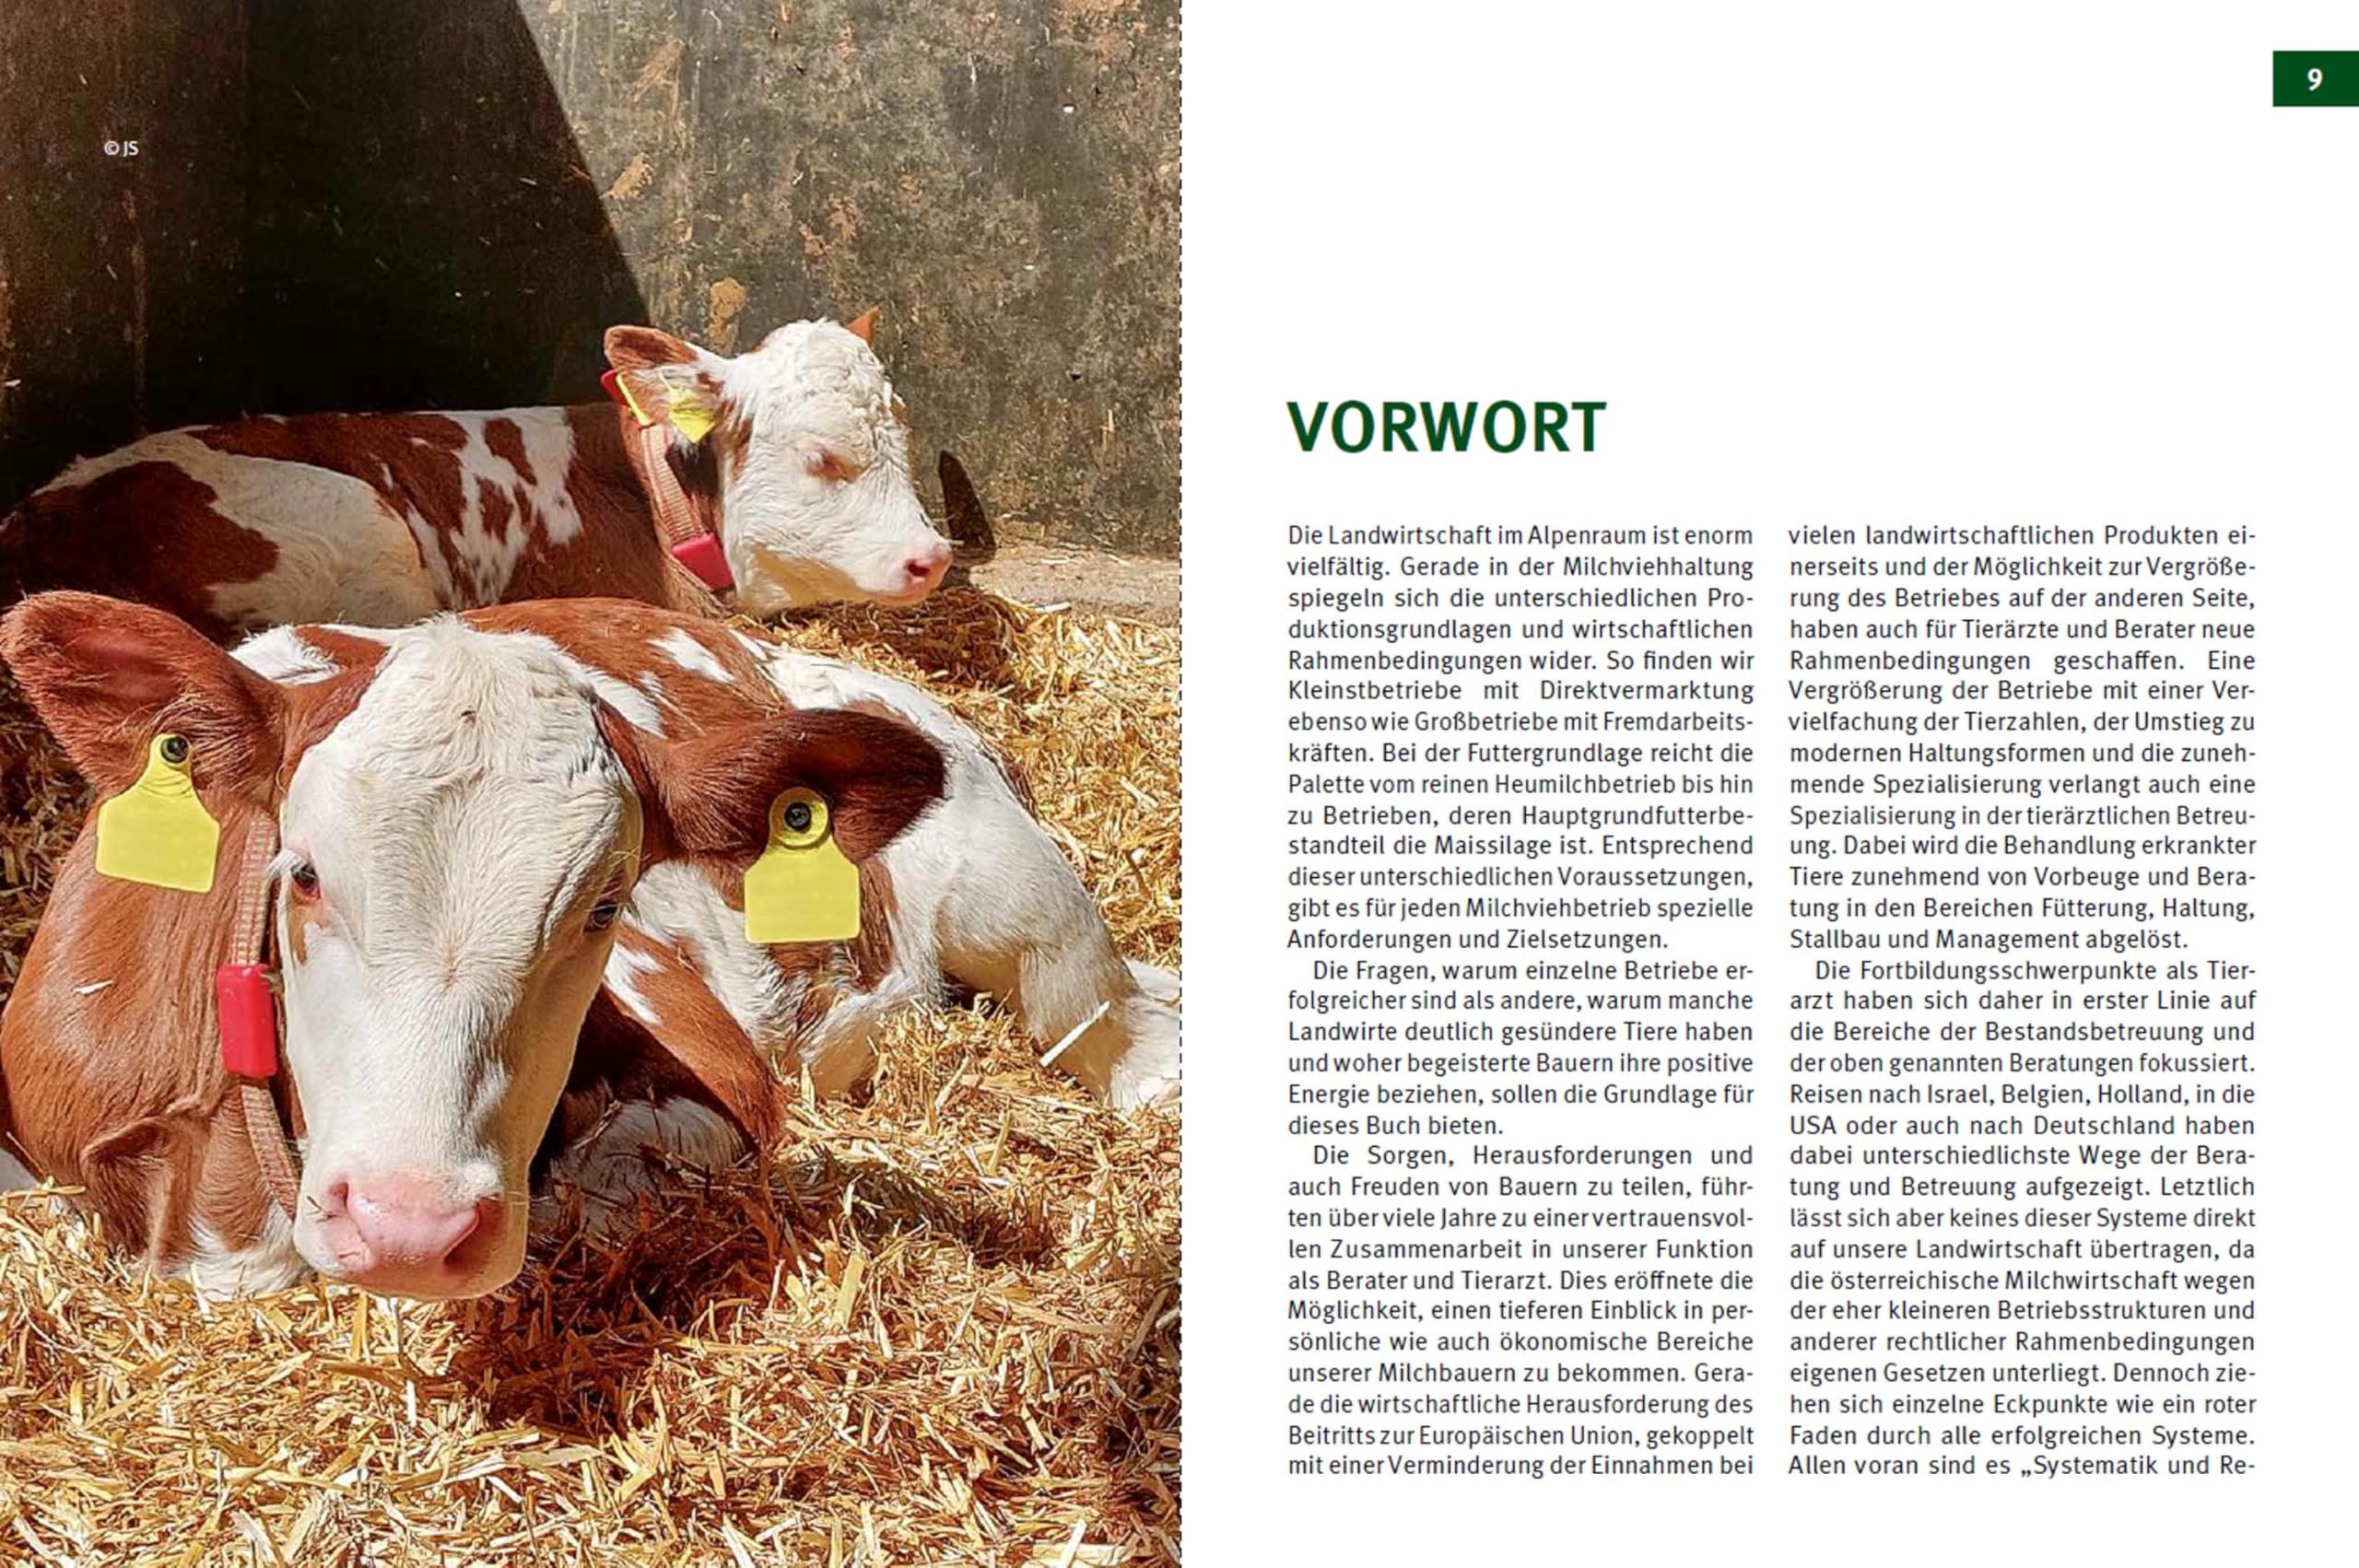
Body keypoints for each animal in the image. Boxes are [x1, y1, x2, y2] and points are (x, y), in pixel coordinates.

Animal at [0, 592, 1180, 1299]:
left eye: (605, 907)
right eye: (304, 873)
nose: (410, 1226)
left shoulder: (718, 1077)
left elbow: (596, 1196)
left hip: (1014, 896)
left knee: (1108, 1021)